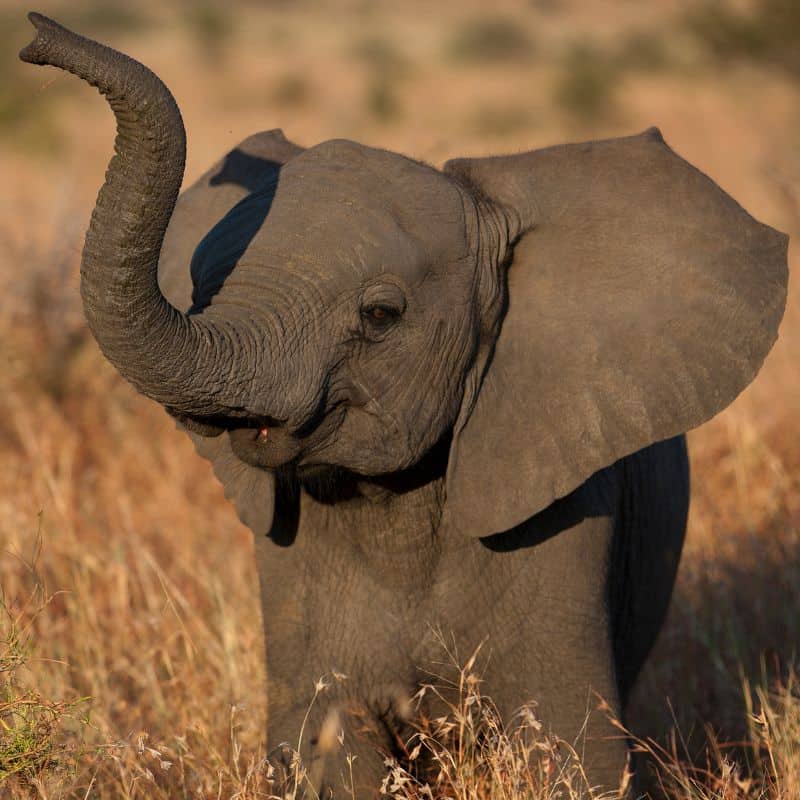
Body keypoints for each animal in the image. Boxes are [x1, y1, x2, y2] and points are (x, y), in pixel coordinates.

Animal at [21, 14, 792, 800]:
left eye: (381, 315)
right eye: (201, 286)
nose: (36, 34)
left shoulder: (567, 506)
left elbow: (574, 747)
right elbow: (323, 737)